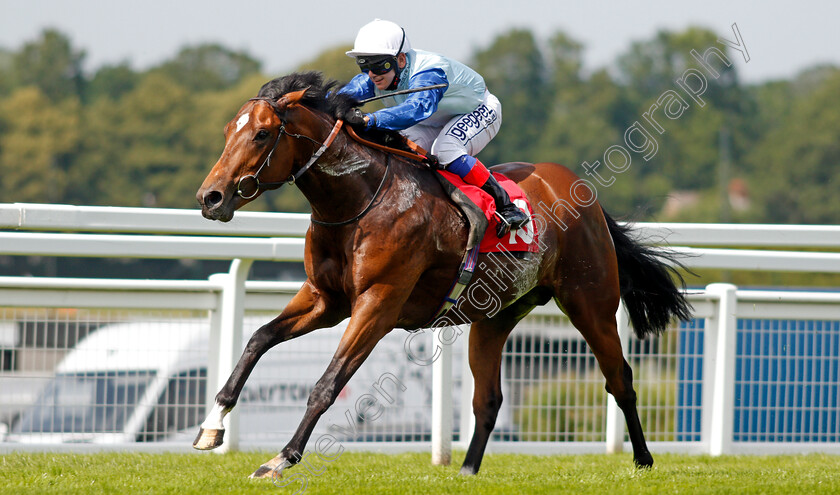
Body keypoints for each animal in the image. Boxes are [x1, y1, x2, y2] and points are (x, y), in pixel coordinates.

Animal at [195, 71, 688, 478]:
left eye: (262, 134)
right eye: (227, 132)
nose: (210, 197)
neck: (358, 199)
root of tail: (580, 191)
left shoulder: (378, 303)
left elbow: (327, 384)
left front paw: (281, 459)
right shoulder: (325, 300)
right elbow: (257, 339)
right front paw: (211, 426)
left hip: (591, 302)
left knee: (620, 378)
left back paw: (643, 459)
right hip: (495, 316)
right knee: (487, 399)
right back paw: (467, 471)